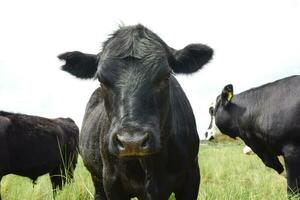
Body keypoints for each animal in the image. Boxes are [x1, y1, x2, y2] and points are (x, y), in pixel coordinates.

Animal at [58, 24, 213, 199]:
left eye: (166, 75)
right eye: (101, 79)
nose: (132, 142)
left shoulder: (191, 176)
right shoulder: (111, 180)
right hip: (96, 177)